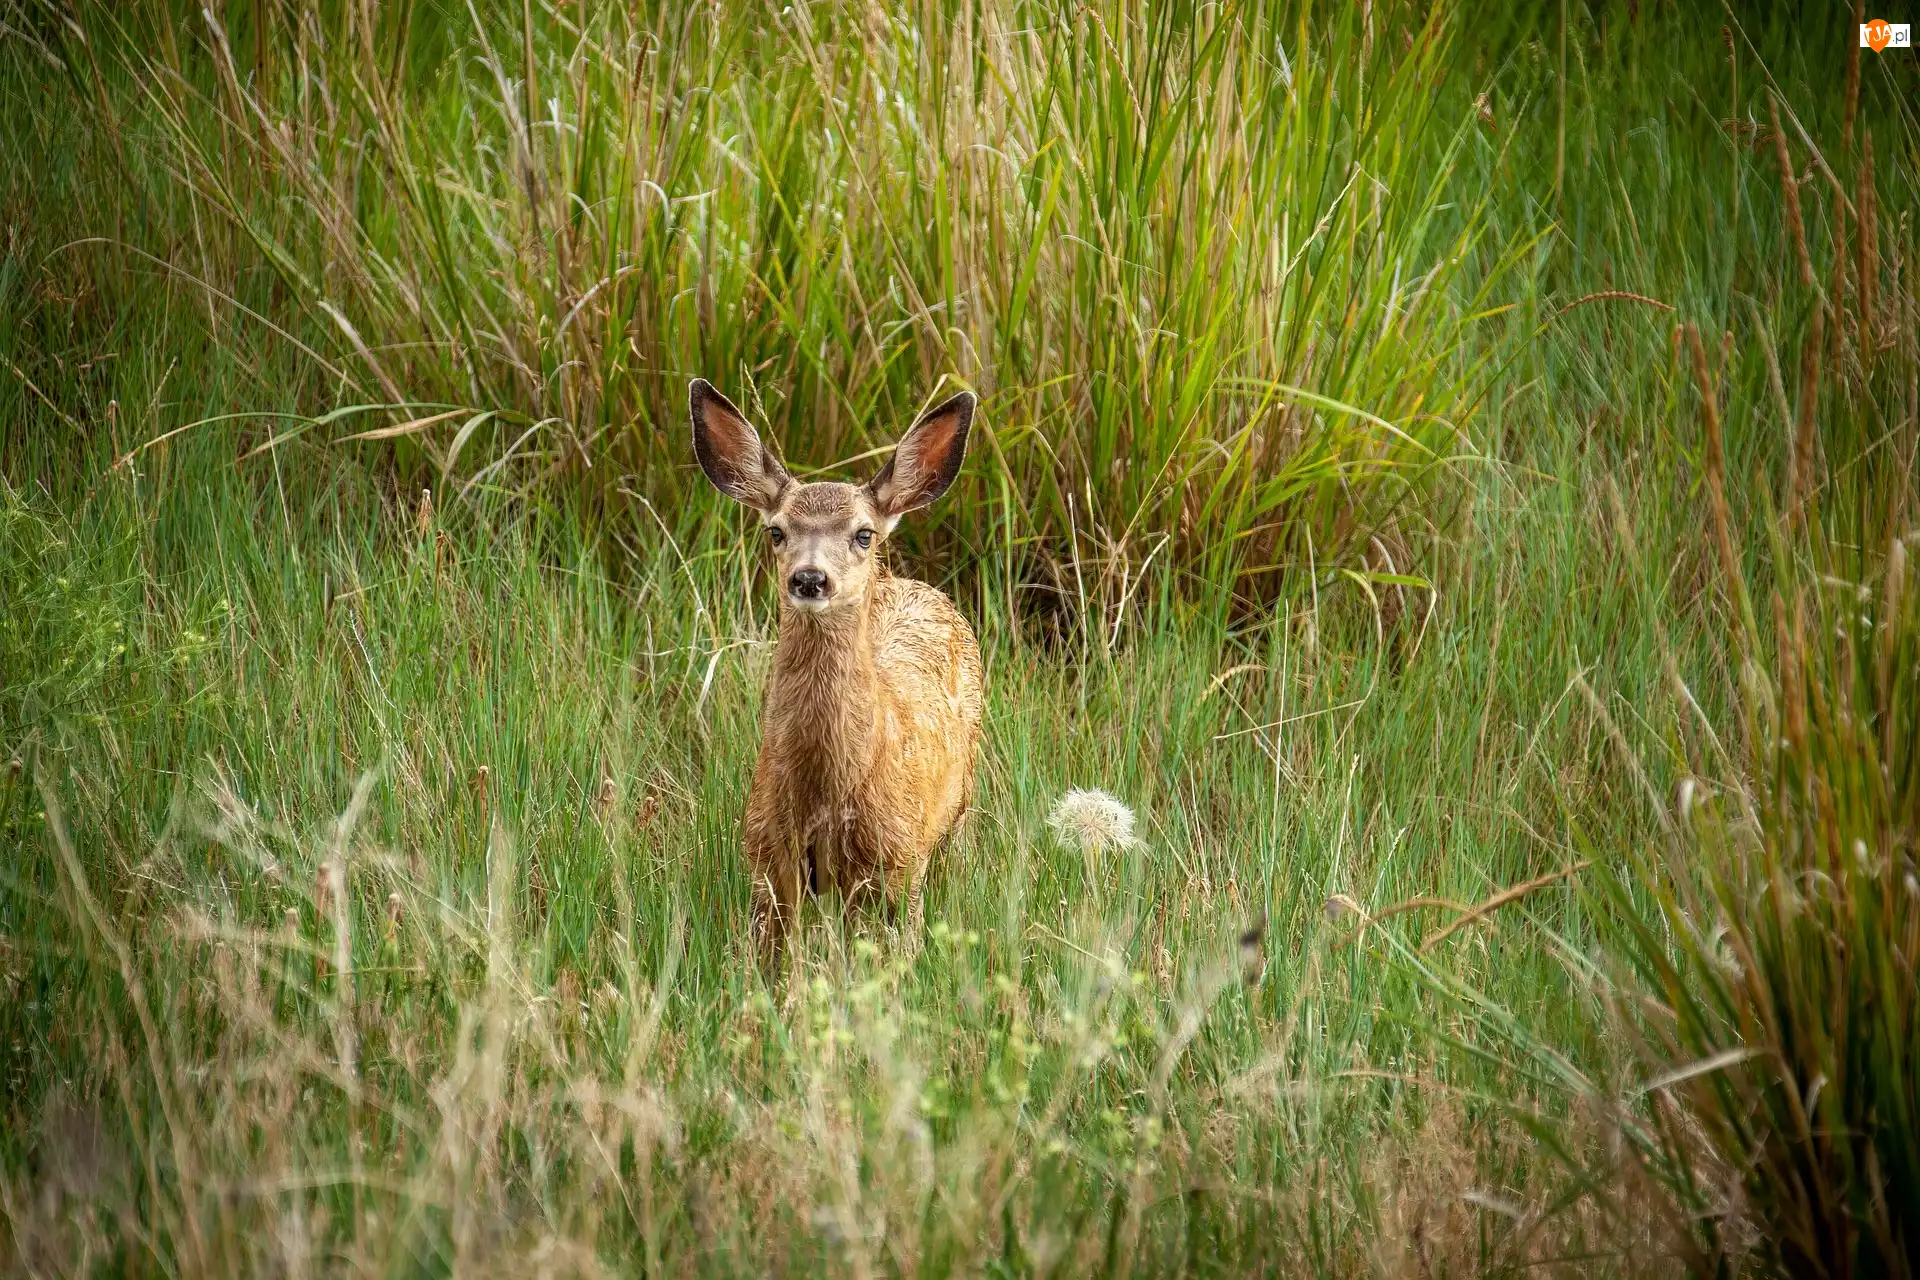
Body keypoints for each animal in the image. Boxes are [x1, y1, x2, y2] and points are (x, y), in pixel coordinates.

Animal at [687, 385, 983, 967]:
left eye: (863, 534)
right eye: (776, 531)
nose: (809, 578)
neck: (828, 790)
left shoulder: (899, 856)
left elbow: (901, 950)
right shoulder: (765, 853)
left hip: (962, 796)